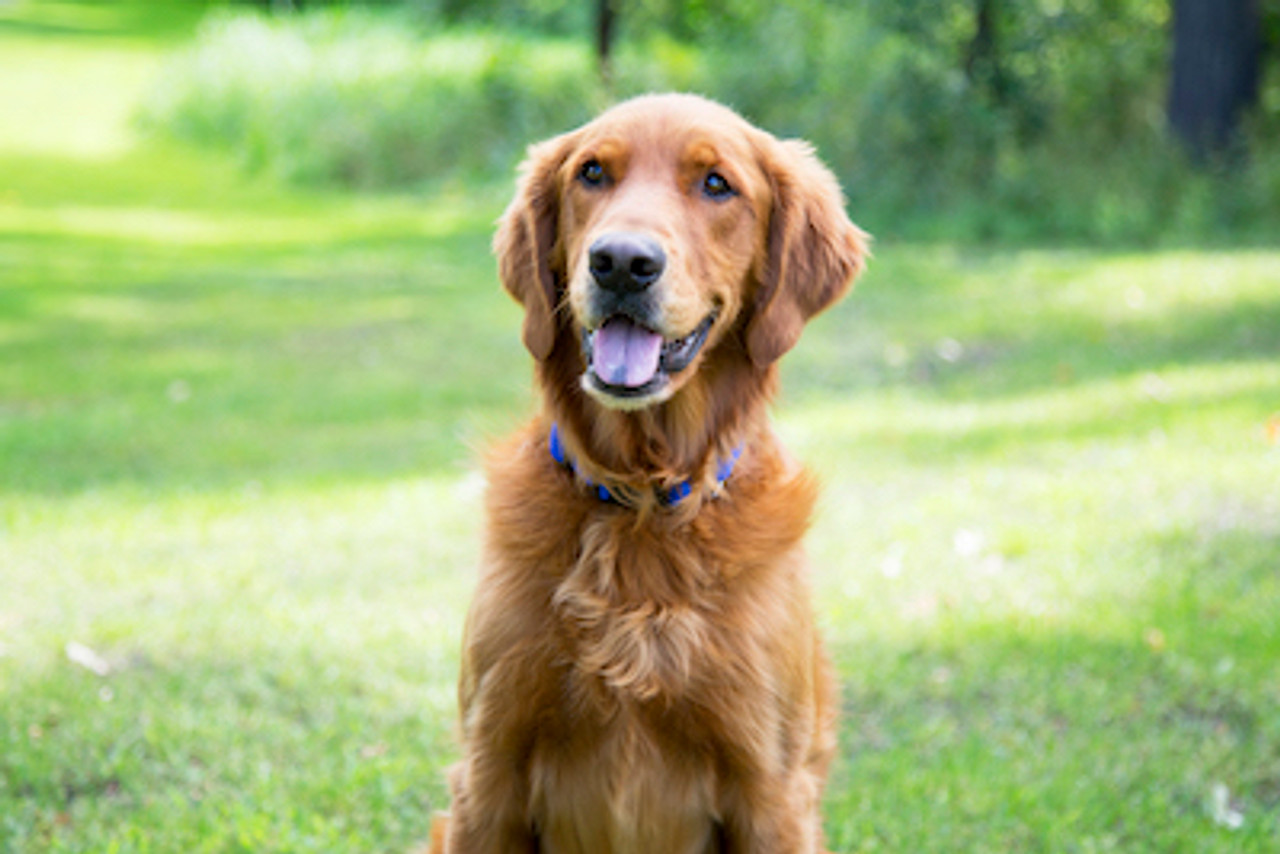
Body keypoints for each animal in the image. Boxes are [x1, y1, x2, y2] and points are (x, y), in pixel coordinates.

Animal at [430, 95, 870, 854]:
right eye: (592, 173)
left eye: (717, 184)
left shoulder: (772, 791)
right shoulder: (488, 778)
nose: (621, 262)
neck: (641, 499)